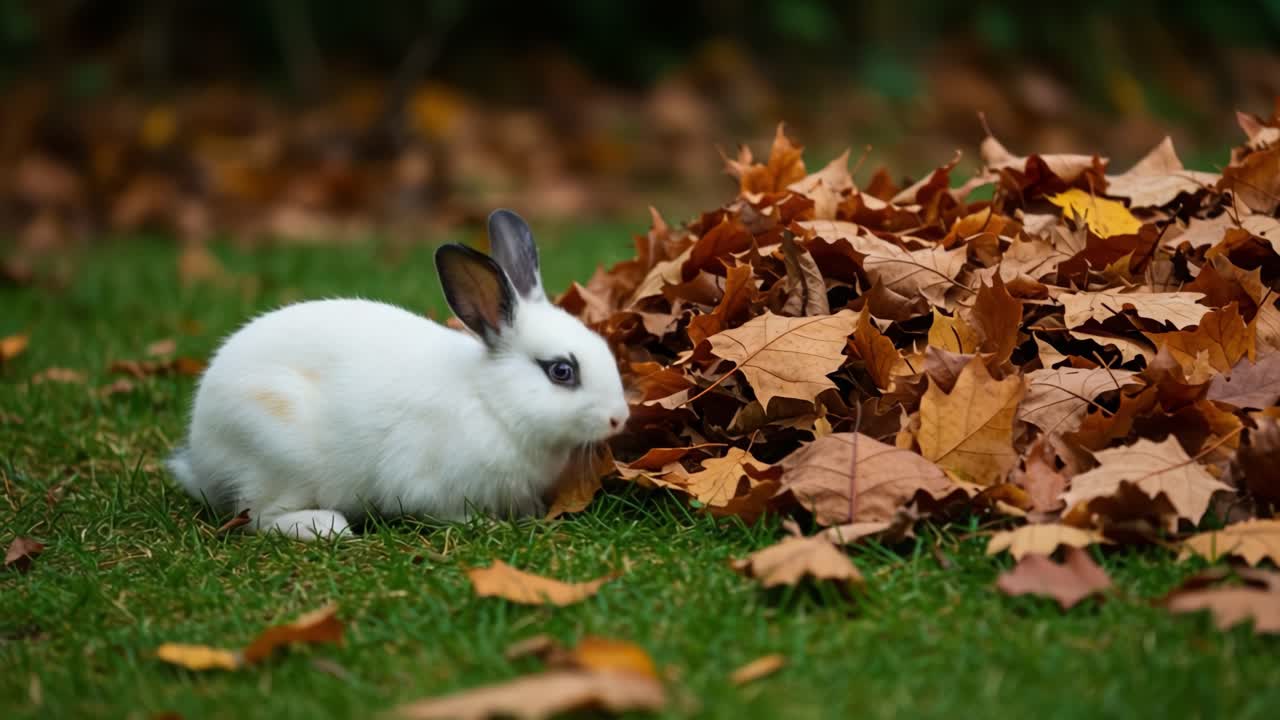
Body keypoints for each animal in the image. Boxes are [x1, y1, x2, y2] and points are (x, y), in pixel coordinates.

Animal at [167, 209, 630, 540]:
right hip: (276, 457)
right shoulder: (429, 484)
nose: (619, 418)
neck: (491, 402)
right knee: (259, 517)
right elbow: (445, 511)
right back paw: (328, 528)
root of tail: (202, 455)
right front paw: (486, 525)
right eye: (561, 371)